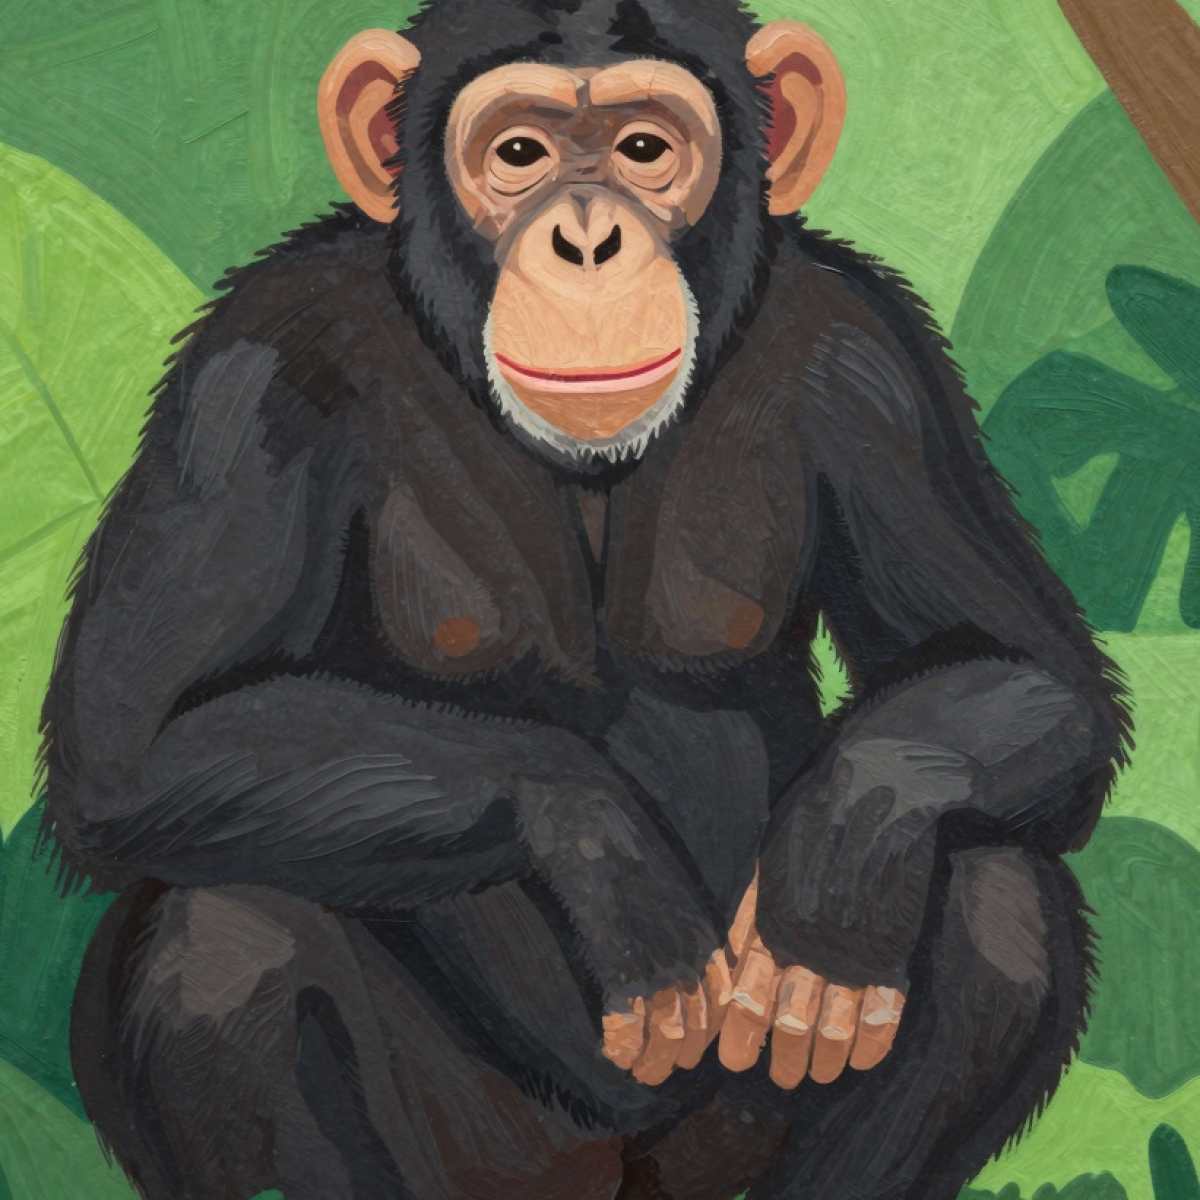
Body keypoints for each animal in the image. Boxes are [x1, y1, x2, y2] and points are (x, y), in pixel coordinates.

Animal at [41, 2, 1129, 1198]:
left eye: (645, 149)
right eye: (518, 153)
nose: (587, 240)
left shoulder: (874, 363)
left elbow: (1026, 670)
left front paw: (841, 860)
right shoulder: (257, 371)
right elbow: (138, 741)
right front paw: (602, 851)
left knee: (999, 898)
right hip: (492, 1156)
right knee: (223, 937)